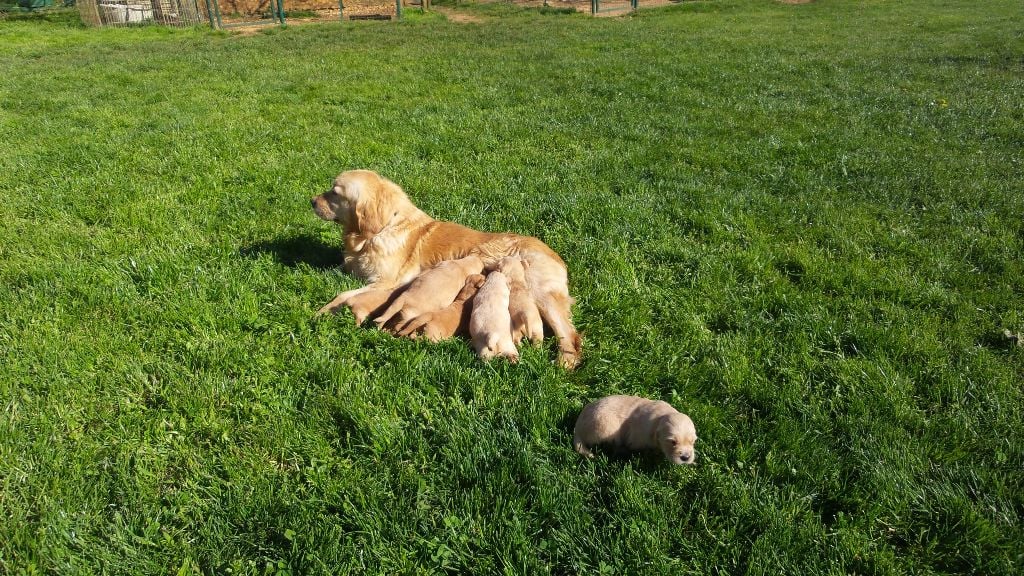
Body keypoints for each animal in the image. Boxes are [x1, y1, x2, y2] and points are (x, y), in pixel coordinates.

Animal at [307, 170, 581, 364]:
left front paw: (323, 311)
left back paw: (563, 363)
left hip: (541, 294)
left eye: (335, 192)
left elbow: (343, 293)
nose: (311, 201)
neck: (381, 230)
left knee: (570, 336)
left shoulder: (385, 281)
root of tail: (555, 255)